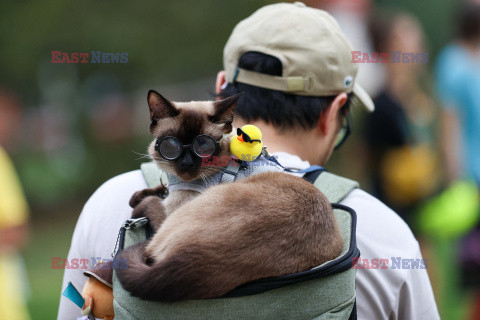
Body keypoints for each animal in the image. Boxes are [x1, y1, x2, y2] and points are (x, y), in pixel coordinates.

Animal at [115, 90, 344, 302]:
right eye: (172, 146)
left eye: (204, 146)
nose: (187, 164)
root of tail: (199, 260)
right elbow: (158, 189)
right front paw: (139, 195)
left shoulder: (171, 210)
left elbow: (154, 201)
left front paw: (140, 202)